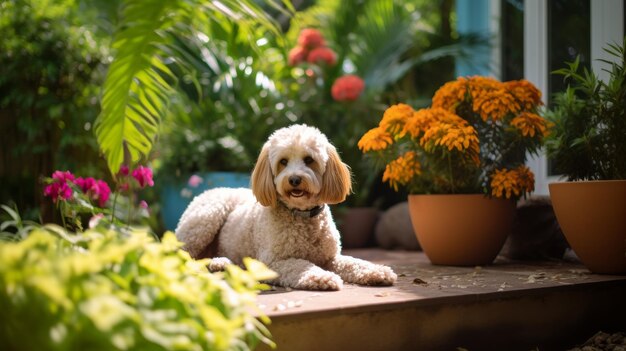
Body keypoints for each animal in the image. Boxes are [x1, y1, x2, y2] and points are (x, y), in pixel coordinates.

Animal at [174, 125, 394, 290]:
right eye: (283, 162)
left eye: (309, 160)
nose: (294, 179)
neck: (301, 215)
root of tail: (208, 191)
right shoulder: (272, 262)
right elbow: (301, 265)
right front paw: (321, 277)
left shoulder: (330, 258)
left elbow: (354, 262)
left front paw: (378, 271)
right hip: (205, 220)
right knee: (181, 257)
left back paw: (220, 263)